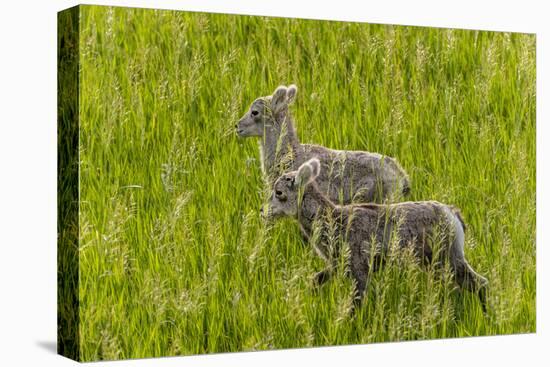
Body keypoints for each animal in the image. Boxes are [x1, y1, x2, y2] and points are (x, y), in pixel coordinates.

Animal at [266, 158, 490, 314]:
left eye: (279, 192)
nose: (263, 211)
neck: (336, 221)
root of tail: (452, 214)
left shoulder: (360, 272)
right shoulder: (336, 266)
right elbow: (315, 281)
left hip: (451, 260)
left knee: (481, 284)